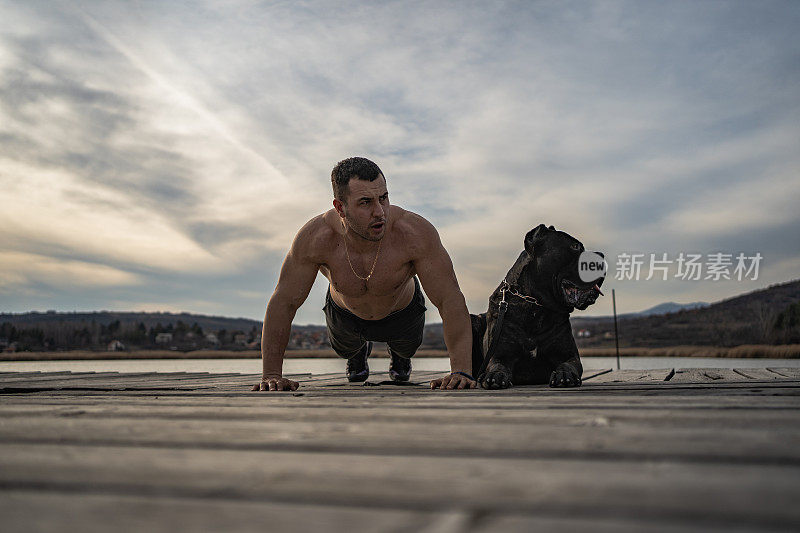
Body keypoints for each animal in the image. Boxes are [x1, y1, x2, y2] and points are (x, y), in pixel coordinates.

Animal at [472, 222, 604, 388]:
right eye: (575, 246)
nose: (602, 255)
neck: (536, 305)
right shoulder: (499, 354)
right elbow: (496, 365)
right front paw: (495, 375)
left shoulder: (569, 355)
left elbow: (568, 364)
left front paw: (564, 375)